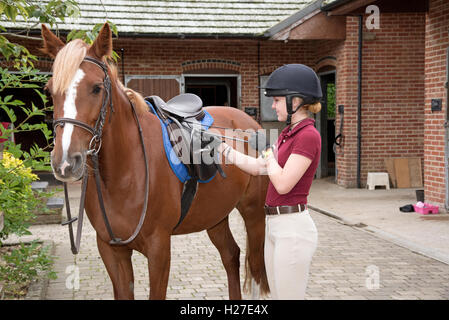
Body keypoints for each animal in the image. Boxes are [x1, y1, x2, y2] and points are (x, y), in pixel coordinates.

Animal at [40, 23, 268, 300]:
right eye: (50, 90)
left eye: (96, 88)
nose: (64, 161)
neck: (125, 173)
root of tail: (249, 121)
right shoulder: (111, 250)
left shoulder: (159, 249)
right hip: (215, 215)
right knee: (230, 255)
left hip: (254, 213)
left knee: (255, 267)